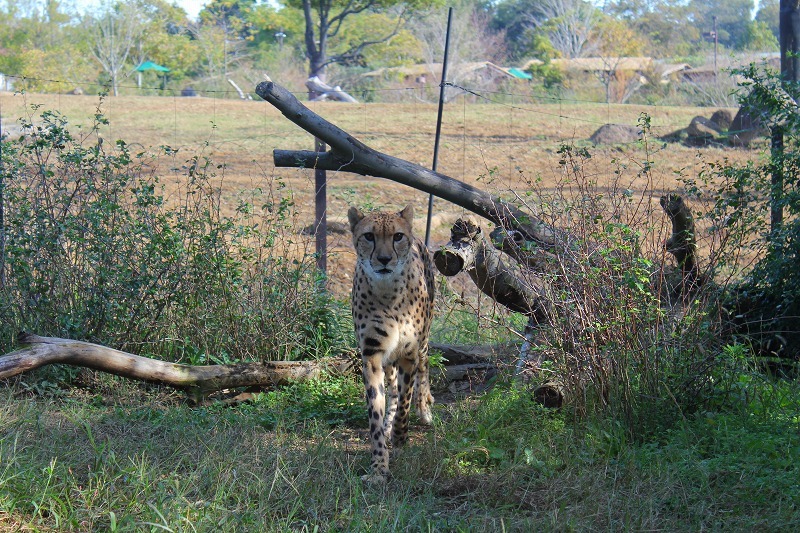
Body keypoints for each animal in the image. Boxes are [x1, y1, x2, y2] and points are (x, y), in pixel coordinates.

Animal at [346, 204, 434, 482]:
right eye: (369, 236)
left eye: (397, 236)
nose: (384, 259)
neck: (388, 294)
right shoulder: (372, 354)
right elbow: (377, 407)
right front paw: (378, 466)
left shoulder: (409, 353)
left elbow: (406, 399)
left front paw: (401, 438)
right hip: (388, 358)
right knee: (393, 388)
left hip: (423, 341)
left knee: (424, 368)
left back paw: (424, 410)